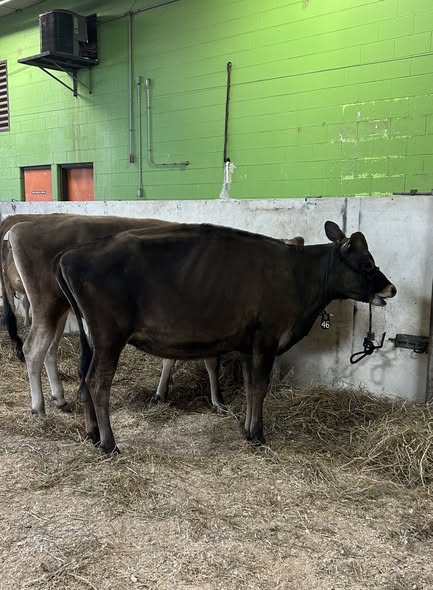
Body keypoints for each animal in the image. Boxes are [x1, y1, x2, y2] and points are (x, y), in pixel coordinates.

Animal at [57, 221, 396, 454]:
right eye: (367, 263)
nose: (391, 288)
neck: (299, 277)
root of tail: (71, 255)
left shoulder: (247, 346)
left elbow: (248, 388)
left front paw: (246, 430)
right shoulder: (267, 339)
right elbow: (260, 387)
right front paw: (258, 436)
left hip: (92, 339)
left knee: (84, 381)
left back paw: (92, 435)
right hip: (109, 336)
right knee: (98, 383)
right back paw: (109, 444)